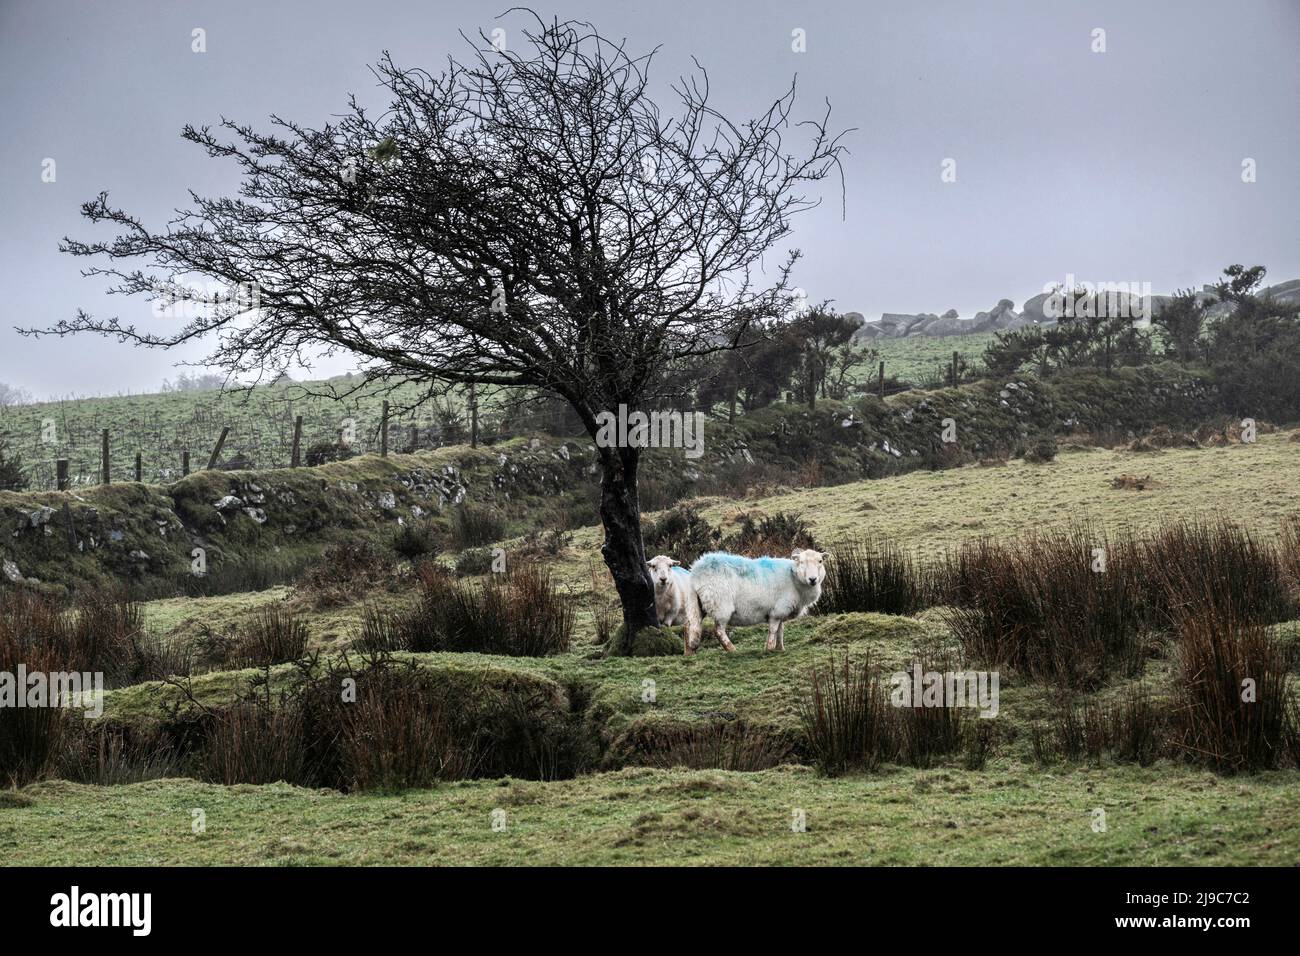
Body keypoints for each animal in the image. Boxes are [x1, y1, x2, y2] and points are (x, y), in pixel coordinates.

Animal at [686, 548, 826, 655]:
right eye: (801, 562)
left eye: (820, 561)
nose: (812, 579)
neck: (794, 578)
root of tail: (696, 571)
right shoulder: (777, 611)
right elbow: (773, 631)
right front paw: (769, 649)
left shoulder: (780, 612)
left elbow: (780, 631)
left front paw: (780, 649)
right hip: (720, 606)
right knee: (718, 631)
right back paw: (732, 650)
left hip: (698, 604)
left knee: (690, 626)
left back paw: (689, 653)